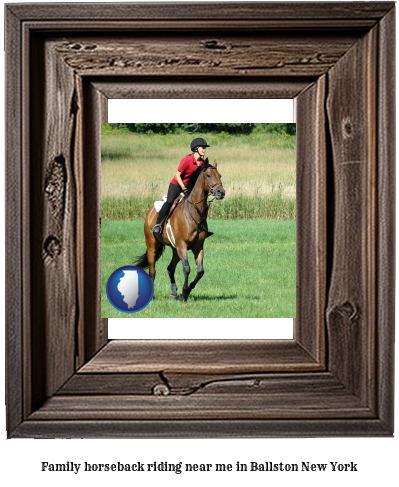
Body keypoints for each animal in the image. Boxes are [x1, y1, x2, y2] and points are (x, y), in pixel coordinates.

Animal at [135, 162, 225, 302]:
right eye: (209, 175)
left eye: (219, 175)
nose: (221, 192)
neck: (193, 213)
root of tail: (150, 212)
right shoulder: (182, 245)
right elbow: (187, 268)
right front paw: (184, 293)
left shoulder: (197, 246)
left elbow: (200, 271)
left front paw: (186, 291)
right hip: (152, 245)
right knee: (152, 270)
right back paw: (152, 296)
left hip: (175, 249)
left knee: (170, 268)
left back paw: (173, 293)